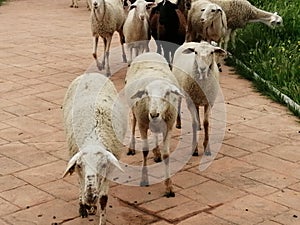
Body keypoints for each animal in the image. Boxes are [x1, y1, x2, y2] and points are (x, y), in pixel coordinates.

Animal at [62, 73, 125, 224]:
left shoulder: (109, 170)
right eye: (79, 165)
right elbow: (80, 185)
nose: (90, 197)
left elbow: (103, 199)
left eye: (103, 165)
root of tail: (91, 74)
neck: (93, 139)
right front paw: (83, 207)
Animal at [124, 52, 183, 197]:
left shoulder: (169, 126)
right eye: (146, 93)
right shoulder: (142, 124)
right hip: (135, 112)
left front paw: (169, 186)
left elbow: (166, 155)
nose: (154, 114)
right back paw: (131, 147)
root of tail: (148, 52)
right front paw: (144, 179)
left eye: (167, 93)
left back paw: (156, 152)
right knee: (133, 123)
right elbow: (145, 150)